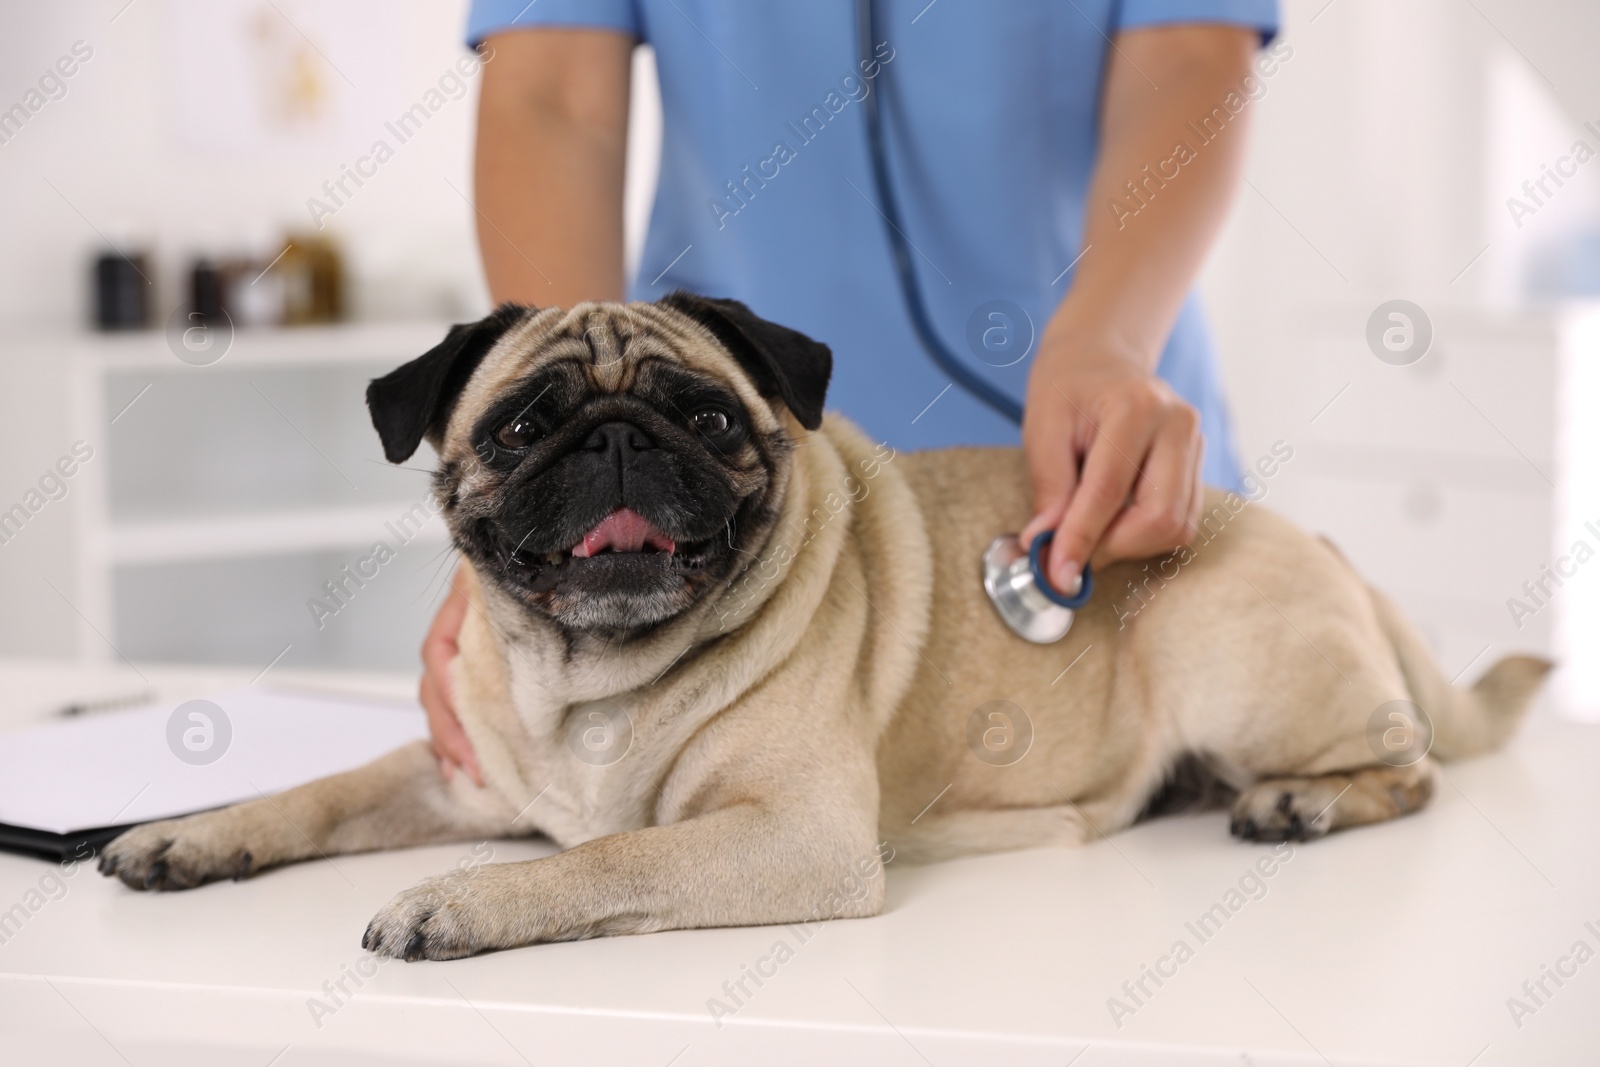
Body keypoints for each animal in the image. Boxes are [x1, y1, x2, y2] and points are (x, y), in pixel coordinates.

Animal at [100, 295, 1548, 966]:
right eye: (521, 426)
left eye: (708, 417)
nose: (616, 437)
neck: (592, 679)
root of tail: (1329, 546)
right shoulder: (458, 774)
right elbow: (319, 789)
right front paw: (193, 833)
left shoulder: (790, 834)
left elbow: (601, 856)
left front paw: (458, 901)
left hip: (1222, 650)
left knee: (1411, 766)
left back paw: (1300, 800)